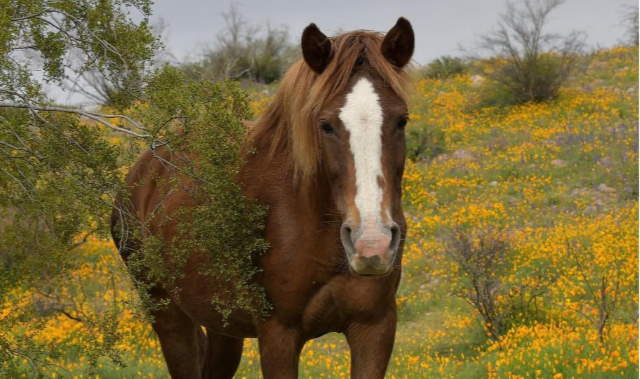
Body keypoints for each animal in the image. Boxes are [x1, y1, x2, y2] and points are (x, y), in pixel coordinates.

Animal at [112, 17, 416, 378]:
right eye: (325, 125)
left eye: (401, 120)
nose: (372, 244)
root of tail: (143, 170)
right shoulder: (278, 334)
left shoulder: (374, 328)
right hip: (168, 316)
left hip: (223, 327)